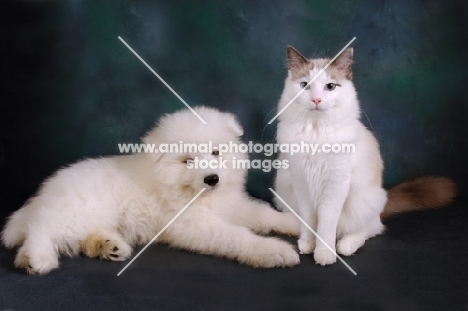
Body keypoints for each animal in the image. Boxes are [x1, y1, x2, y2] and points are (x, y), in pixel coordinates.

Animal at [1, 107, 300, 276]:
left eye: (216, 152)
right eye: (188, 160)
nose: (212, 179)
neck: (195, 194)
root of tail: (45, 192)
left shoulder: (233, 205)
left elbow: (262, 213)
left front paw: (294, 222)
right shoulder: (193, 225)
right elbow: (237, 236)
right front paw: (273, 251)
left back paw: (108, 246)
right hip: (78, 211)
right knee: (41, 229)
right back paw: (38, 258)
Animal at [276, 45, 456, 266]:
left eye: (330, 87)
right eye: (305, 86)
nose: (316, 100)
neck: (316, 132)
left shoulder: (335, 186)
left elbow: (326, 225)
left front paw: (324, 253)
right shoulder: (301, 183)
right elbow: (309, 221)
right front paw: (308, 245)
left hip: (363, 202)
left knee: (370, 230)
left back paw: (345, 246)